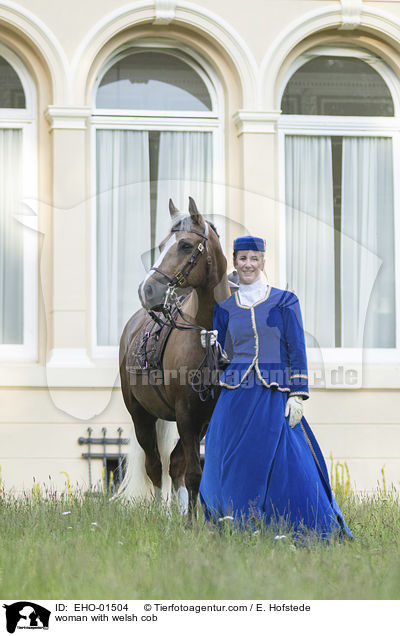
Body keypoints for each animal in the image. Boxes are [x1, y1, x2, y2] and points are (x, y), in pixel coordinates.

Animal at [116, 199, 228, 516]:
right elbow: (193, 474)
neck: (206, 333)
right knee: (154, 465)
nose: (147, 290)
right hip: (141, 416)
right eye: (162, 244)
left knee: (174, 465)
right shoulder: (185, 413)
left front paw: (193, 520)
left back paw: (176, 515)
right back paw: (159, 514)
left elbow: (192, 472)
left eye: (186, 245)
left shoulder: (206, 417)